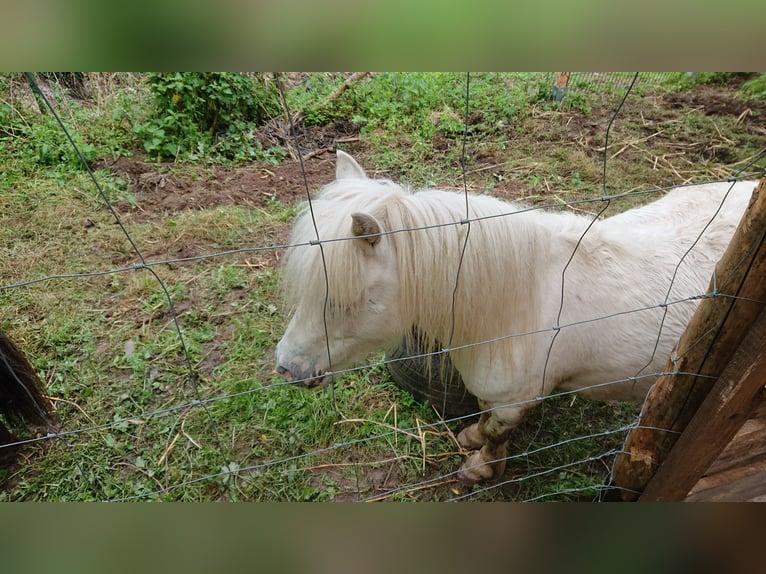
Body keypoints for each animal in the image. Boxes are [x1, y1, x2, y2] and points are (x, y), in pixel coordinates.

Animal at [275, 150, 756, 483]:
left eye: (348, 300)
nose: (288, 368)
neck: (516, 302)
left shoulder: (516, 400)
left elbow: (495, 432)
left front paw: (481, 467)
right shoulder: (494, 393)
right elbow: (483, 418)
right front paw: (471, 440)